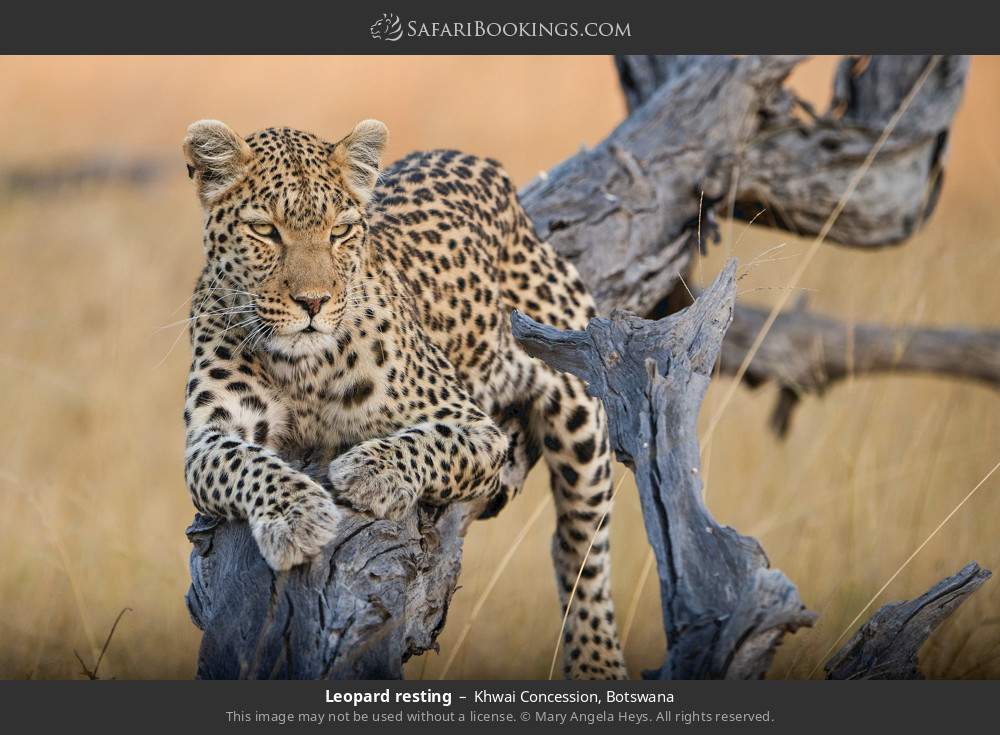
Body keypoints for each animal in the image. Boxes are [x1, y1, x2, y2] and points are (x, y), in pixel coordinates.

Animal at [180, 119, 624, 680]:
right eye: (265, 230)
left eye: (340, 231)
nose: (313, 303)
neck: (302, 370)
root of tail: (478, 162)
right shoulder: (209, 437)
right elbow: (246, 463)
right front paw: (297, 515)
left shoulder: (473, 425)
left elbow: (425, 443)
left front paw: (368, 472)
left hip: (580, 402)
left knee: (583, 549)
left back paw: (596, 661)